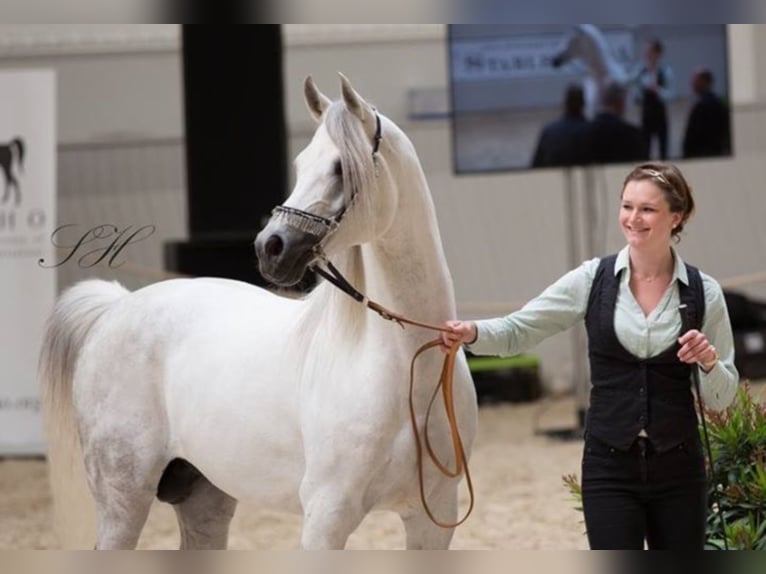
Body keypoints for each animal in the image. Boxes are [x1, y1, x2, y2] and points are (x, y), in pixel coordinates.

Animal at [40, 74, 480, 552]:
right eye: (301, 163)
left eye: (341, 167)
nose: (271, 248)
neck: (400, 369)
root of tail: (117, 307)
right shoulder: (327, 516)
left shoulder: (432, 519)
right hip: (122, 500)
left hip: (204, 497)